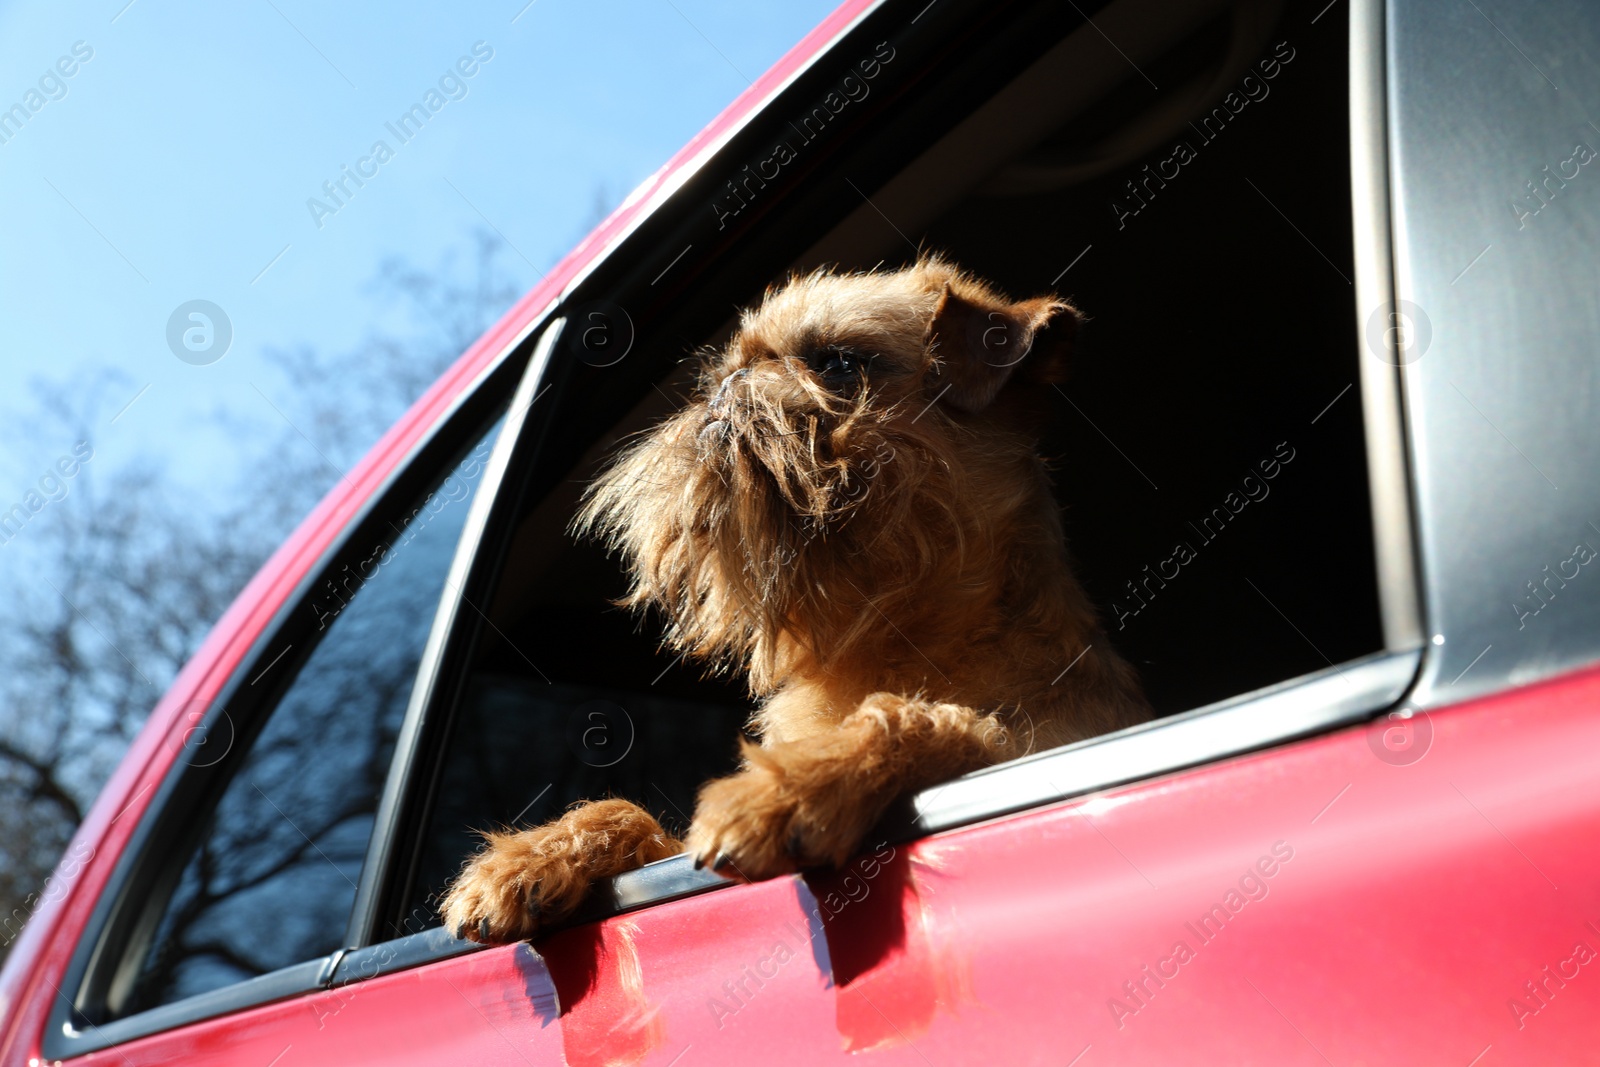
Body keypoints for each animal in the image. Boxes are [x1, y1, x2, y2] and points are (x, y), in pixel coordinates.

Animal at [444, 255, 1145, 940]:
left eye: (837, 362)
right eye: (722, 372)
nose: (729, 384)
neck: (886, 641)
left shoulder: (1040, 743)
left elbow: (934, 720)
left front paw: (796, 782)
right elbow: (635, 816)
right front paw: (536, 853)